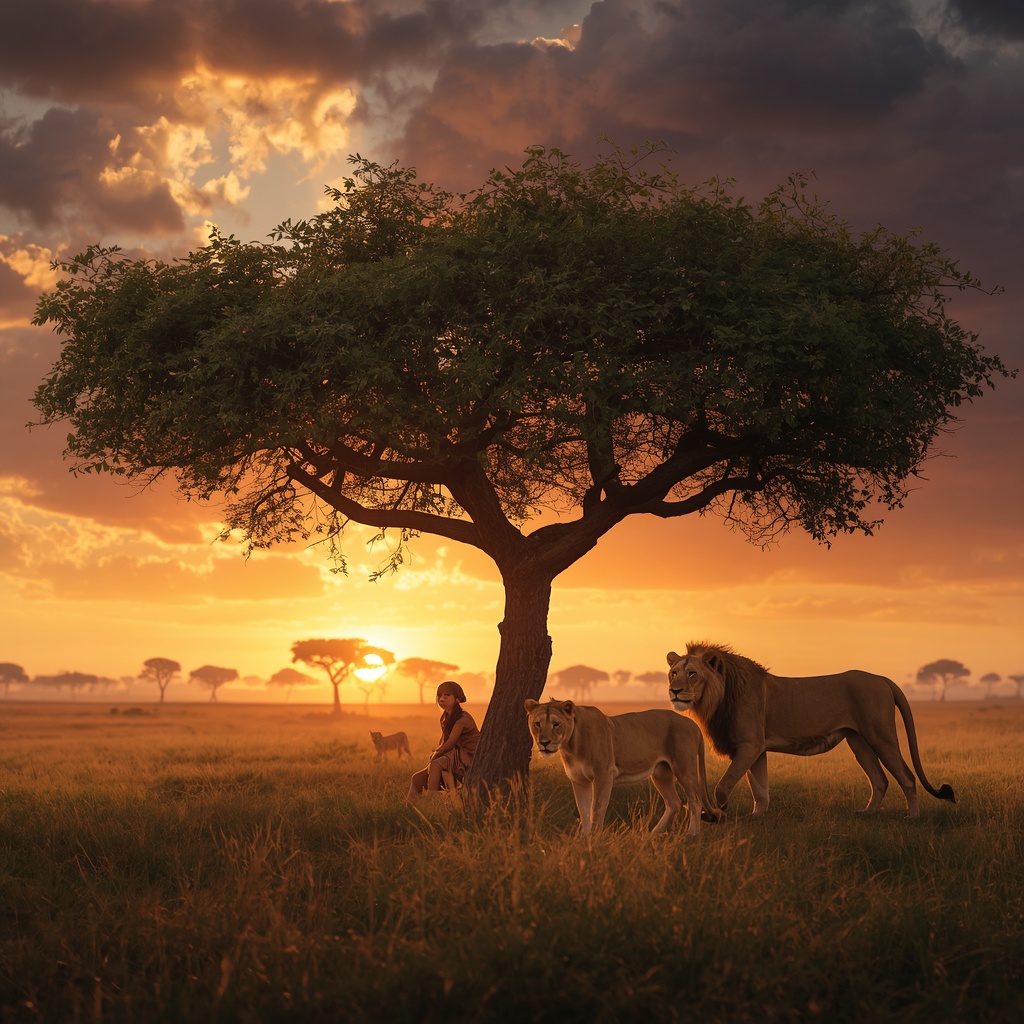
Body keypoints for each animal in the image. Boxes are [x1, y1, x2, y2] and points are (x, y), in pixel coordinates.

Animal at [524, 698, 723, 836]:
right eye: (537, 724)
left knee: (695, 801)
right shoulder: (579, 780)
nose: (544, 743)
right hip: (661, 774)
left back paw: (692, 834)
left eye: (556, 724)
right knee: (674, 802)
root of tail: (693, 724)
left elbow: (596, 808)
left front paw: (593, 838)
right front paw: (583, 838)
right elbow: (583, 809)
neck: (570, 745)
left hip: (684, 769)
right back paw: (653, 834)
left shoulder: (604, 775)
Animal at [666, 642, 956, 818]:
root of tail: (882, 678)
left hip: (880, 736)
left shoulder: (749, 745)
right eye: (673, 673)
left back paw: (912, 817)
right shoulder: (757, 748)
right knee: (880, 779)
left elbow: (724, 786)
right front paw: (757, 817)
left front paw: (720, 815)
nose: (674, 691)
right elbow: (760, 789)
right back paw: (867, 813)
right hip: (858, 741)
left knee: (906, 776)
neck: (719, 697)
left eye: (692, 674)